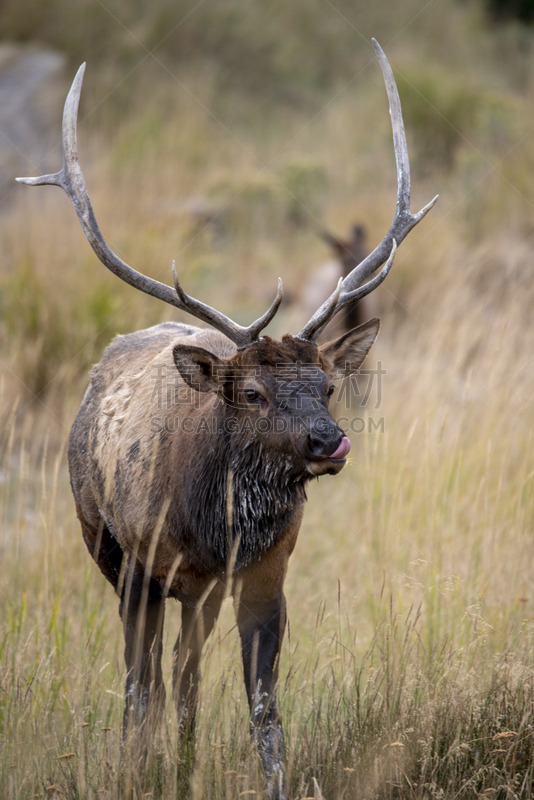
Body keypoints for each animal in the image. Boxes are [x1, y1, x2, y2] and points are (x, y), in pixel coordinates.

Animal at [19, 40, 440, 796]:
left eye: (326, 386)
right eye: (251, 393)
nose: (330, 441)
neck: (212, 527)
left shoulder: (267, 570)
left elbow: (263, 707)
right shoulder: (140, 562)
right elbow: (139, 693)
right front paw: (137, 774)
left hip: (199, 593)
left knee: (187, 677)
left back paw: (185, 765)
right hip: (101, 540)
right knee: (156, 680)